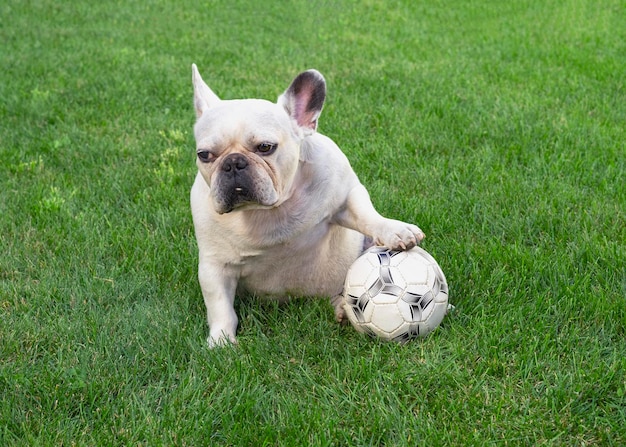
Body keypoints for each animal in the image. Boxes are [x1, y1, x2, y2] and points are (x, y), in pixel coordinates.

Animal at [190, 65, 424, 348]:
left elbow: (367, 215)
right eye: (204, 155)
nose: (233, 162)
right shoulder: (214, 265)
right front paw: (221, 340)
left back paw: (342, 307)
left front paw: (395, 230)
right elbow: (220, 306)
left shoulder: (345, 198)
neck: (268, 211)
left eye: (265, 147)